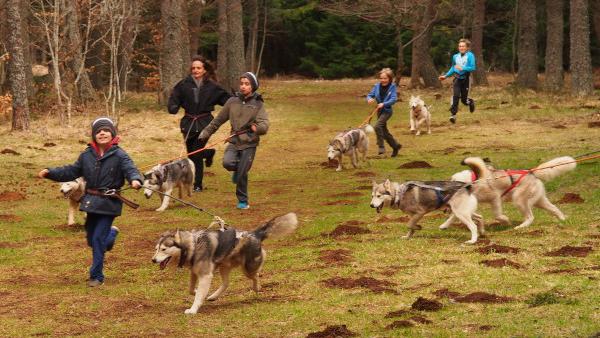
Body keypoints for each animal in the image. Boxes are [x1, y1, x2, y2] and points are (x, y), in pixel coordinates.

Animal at [152, 214, 298, 314]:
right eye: (156, 249)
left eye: (163, 249)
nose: (153, 260)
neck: (193, 245)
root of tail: (255, 233)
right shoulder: (194, 271)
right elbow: (191, 289)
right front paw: (197, 291)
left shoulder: (205, 275)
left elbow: (198, 296)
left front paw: (193, 309)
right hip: (224, 267)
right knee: (226, 283)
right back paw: (213, 296)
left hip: (247, 268)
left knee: (255, 276)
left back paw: (256, 288)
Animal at [446, 156, 576, 230]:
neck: (472, 180)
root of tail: (531, 172)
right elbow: (454, 216)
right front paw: (445, 226)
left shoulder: (495, 198)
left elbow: (497, 215)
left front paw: (505, 221)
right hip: (540, 201)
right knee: (554, 209)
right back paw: (563, 219)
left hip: (519, 199)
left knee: (530, 216)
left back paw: (520, 227)